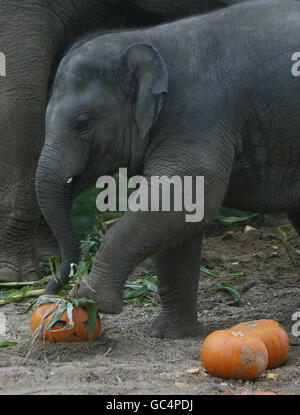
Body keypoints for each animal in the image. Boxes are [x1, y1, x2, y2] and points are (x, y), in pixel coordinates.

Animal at [37, 0, 300, 340]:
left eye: (82, 124)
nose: (48, 296)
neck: (147, 38)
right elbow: (179, 216)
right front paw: (170, 334)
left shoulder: (199, 114)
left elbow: (179, 200)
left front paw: (91, 299)